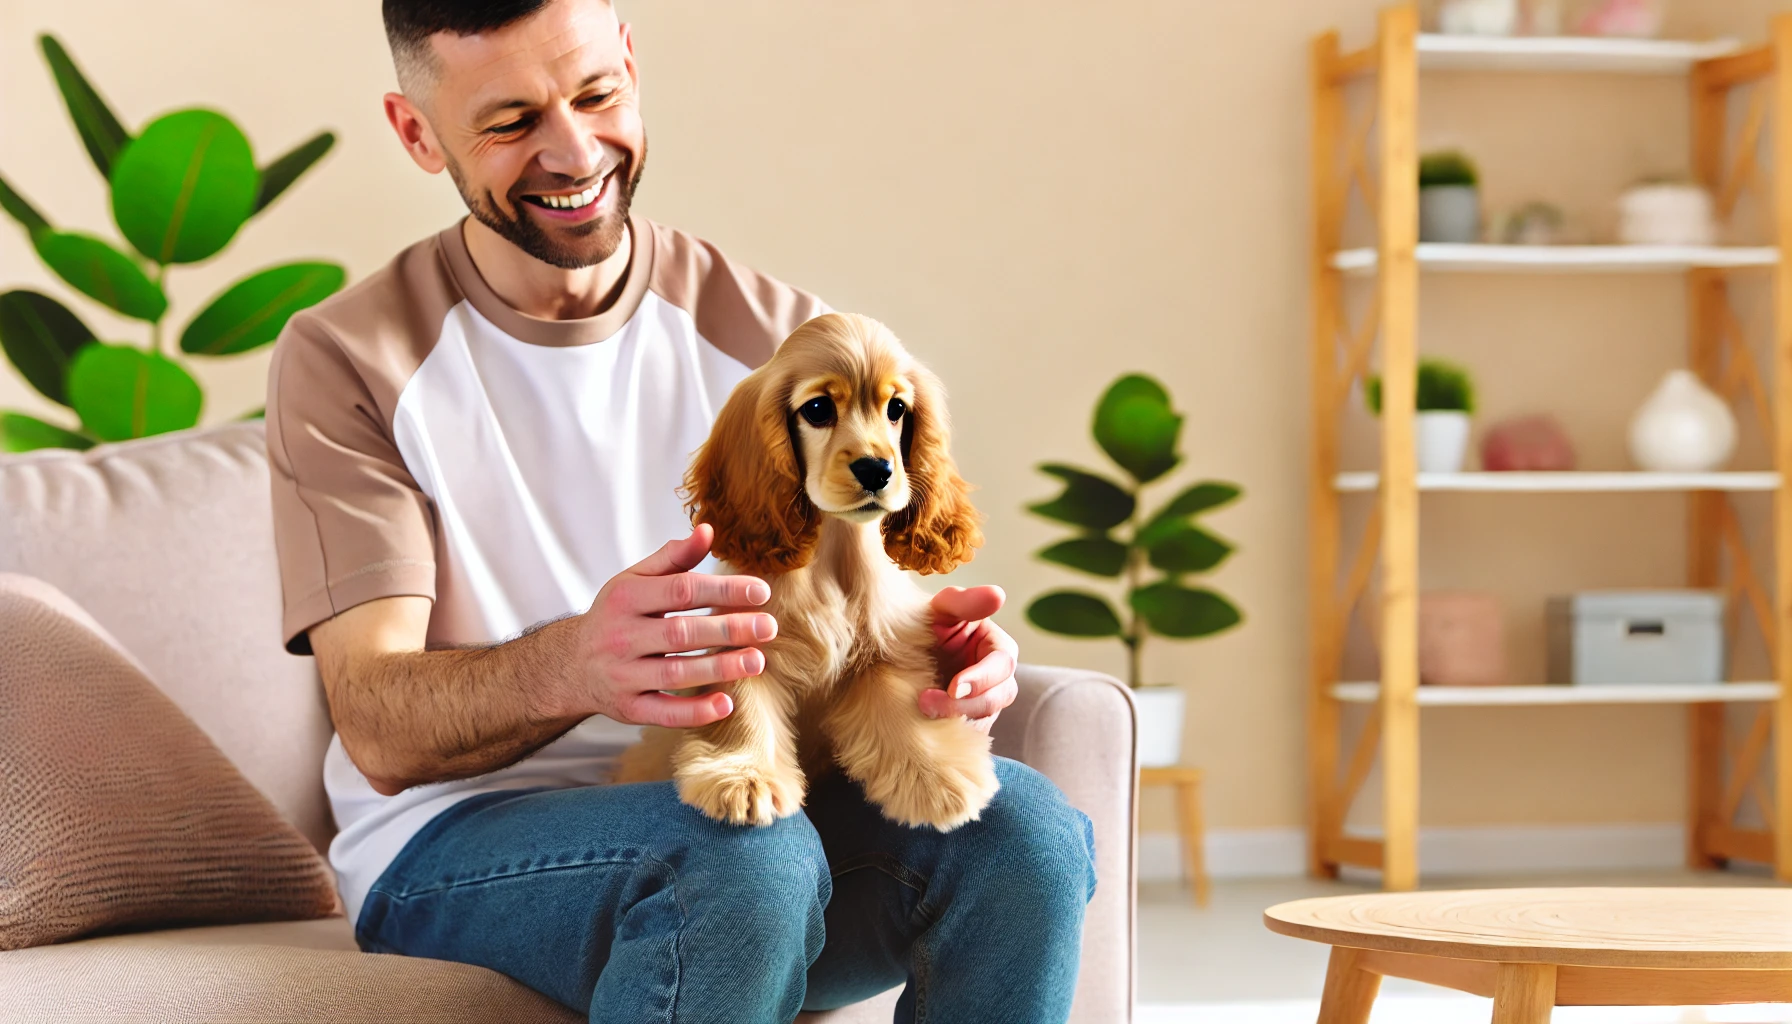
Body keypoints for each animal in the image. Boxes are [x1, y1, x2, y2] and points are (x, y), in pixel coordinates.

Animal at [620, 312, 1003, 832]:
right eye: (818, 408)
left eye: (897, 408)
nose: (877, 469)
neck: (834, 551)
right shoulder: (747, 641)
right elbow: (744, 707)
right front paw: (746, 778)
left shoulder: (884, 643)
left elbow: (900, 703)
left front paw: (935, 777)